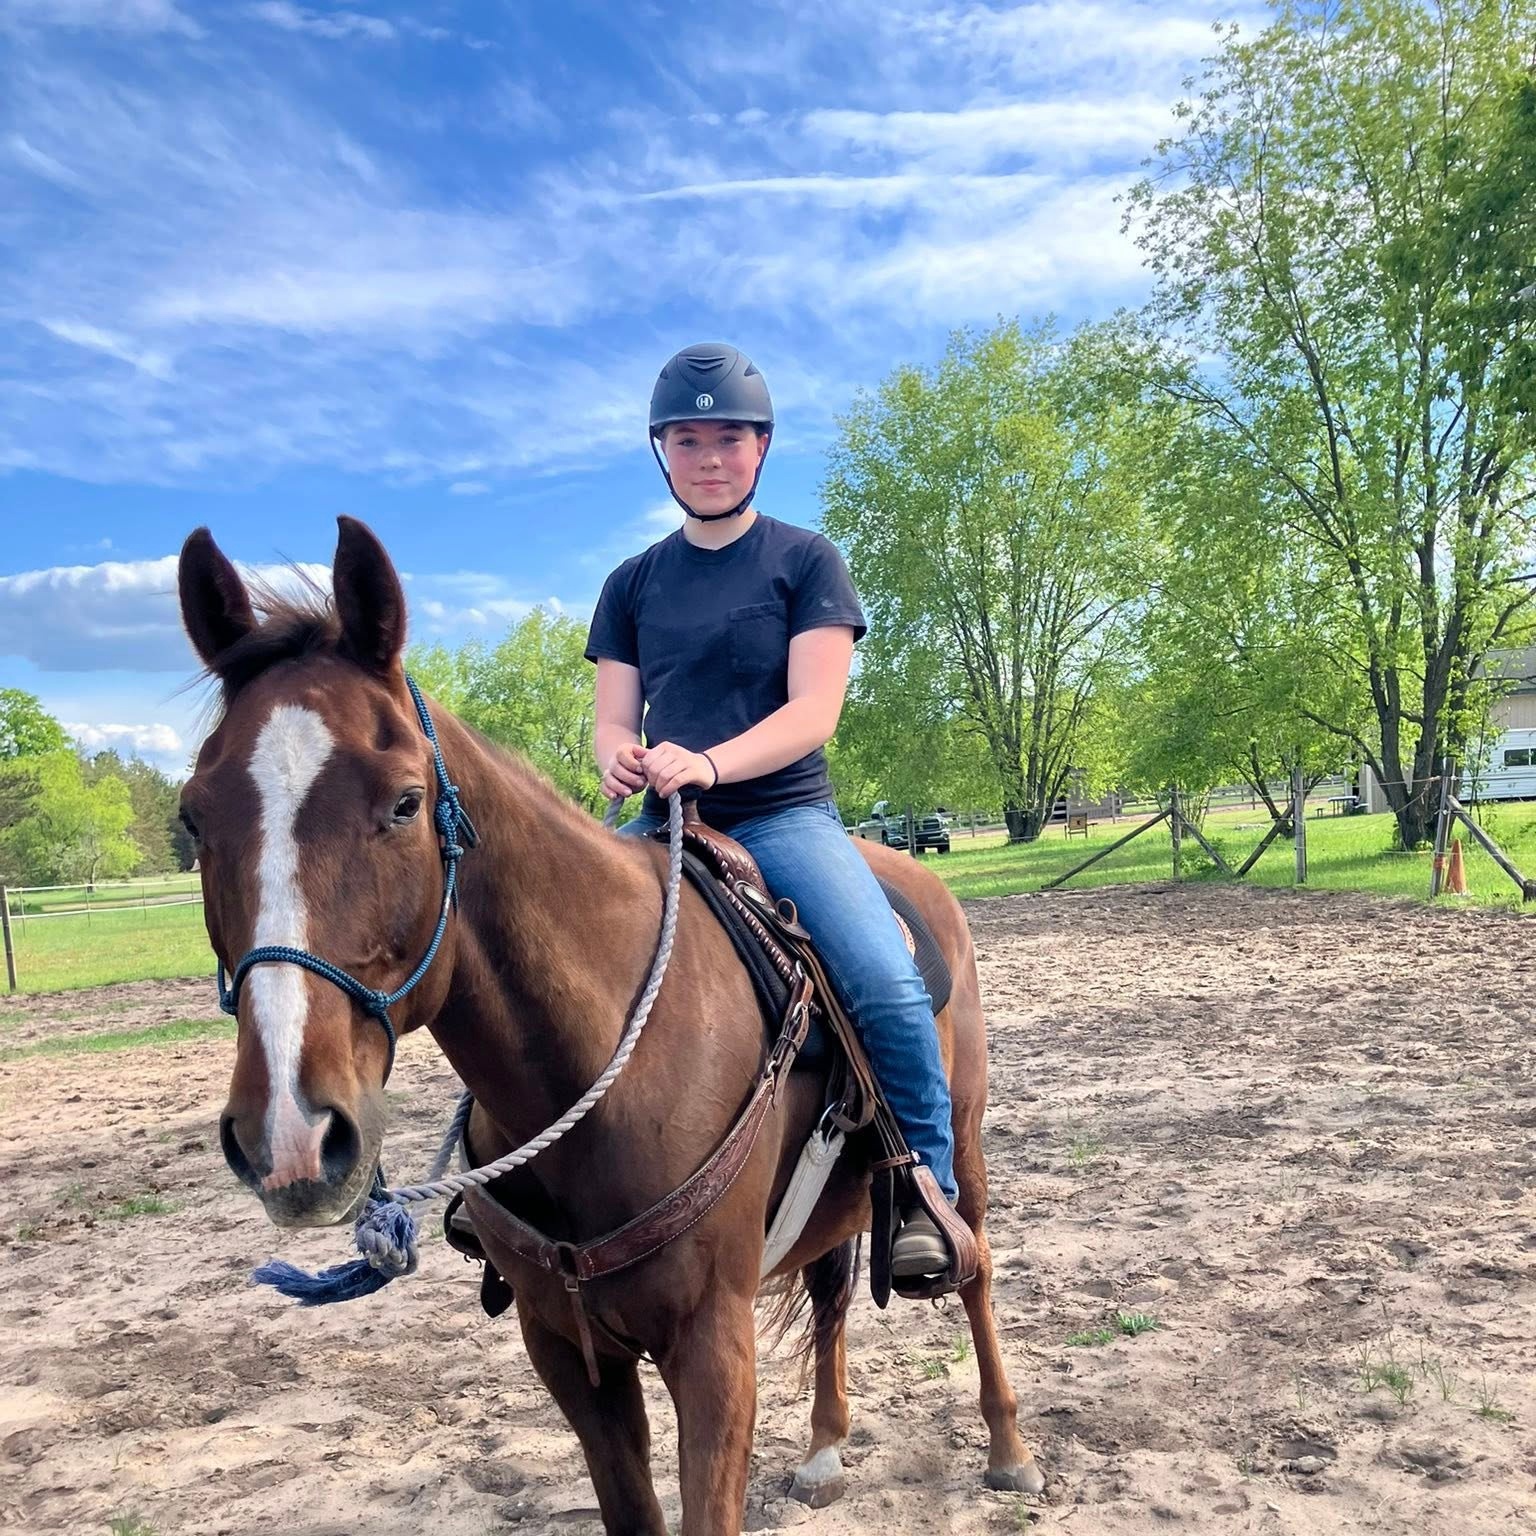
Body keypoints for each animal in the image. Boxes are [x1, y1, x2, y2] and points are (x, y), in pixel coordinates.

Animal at [176, 515, 1043, 1534]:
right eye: (194, 818)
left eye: (403, 802)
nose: (291, 1135)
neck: (609, 1067)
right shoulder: (567, 1352)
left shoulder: (713, 1349)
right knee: (832, 1291)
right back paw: (826, 1450)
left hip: (965, 1153)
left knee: (975, 1273)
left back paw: (1011, 1449)